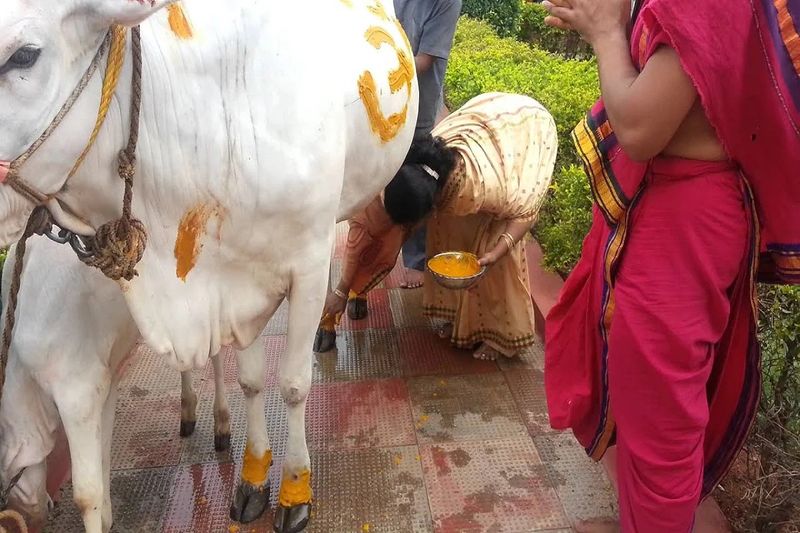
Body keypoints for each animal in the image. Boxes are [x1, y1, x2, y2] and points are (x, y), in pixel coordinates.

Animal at [0, 238, 231, 532]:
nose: (44, 508)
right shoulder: (104, 382)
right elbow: (103, 455)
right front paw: (107, 516)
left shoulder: (78, 395)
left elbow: (86, 495)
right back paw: (188, 412)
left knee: (217, 352)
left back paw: (222, 425)